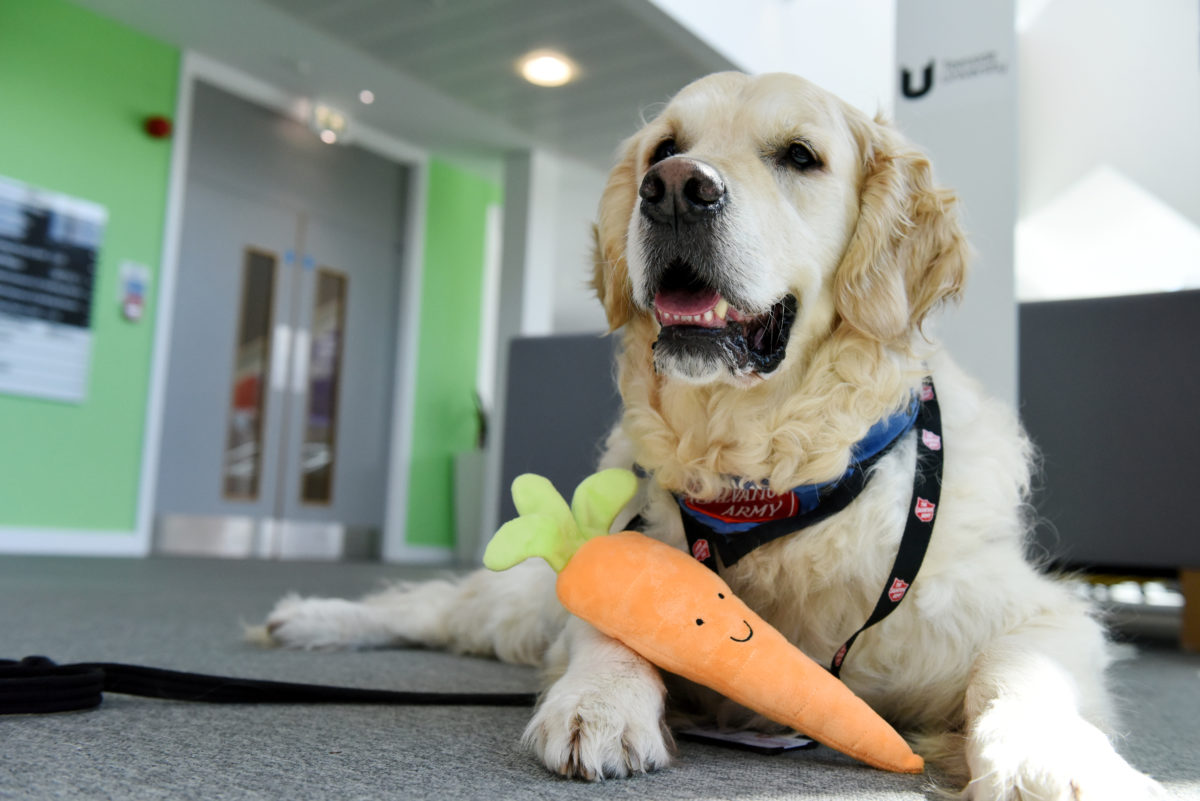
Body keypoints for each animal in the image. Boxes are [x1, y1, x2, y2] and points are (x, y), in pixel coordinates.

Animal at [260, 71, 1161, 796]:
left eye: (799, 155)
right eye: (666, 147)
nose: (672, 189)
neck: (765, 474)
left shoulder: (1033, 610)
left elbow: (1021, 672)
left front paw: (1056, 760)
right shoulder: (624, 559)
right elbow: (610, 626)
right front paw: (599, 701)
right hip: (517, 603)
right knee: (434, 603)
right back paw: (307, 618)